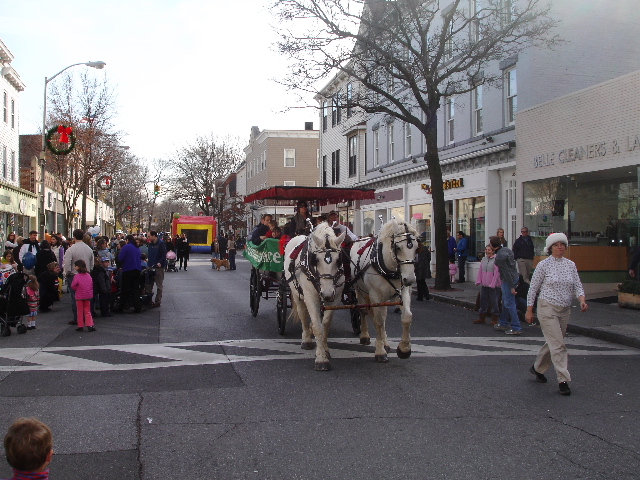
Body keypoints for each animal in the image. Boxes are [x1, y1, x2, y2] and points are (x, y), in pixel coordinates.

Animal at [284, 222, 344, 372]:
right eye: (315, 260)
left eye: (338, 260)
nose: (326, 294)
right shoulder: (310, 297)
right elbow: (317, 326)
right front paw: (321, 359)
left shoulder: (335, 298)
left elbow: (325, 325)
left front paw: (325, 350)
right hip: (297, 294)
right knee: (302, 314)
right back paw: (306, 339)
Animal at [350, 218, 420, 360]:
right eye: (398, 248)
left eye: (416, 248)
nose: (410, 280)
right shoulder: (375, 294)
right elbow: (377, 321)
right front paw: (380, 351)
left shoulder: (403, 291)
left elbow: (407, 317)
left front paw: (404, 349)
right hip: (360, 290)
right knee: (363, 311)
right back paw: (365, 336)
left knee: (383, 316)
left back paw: (386, 343)